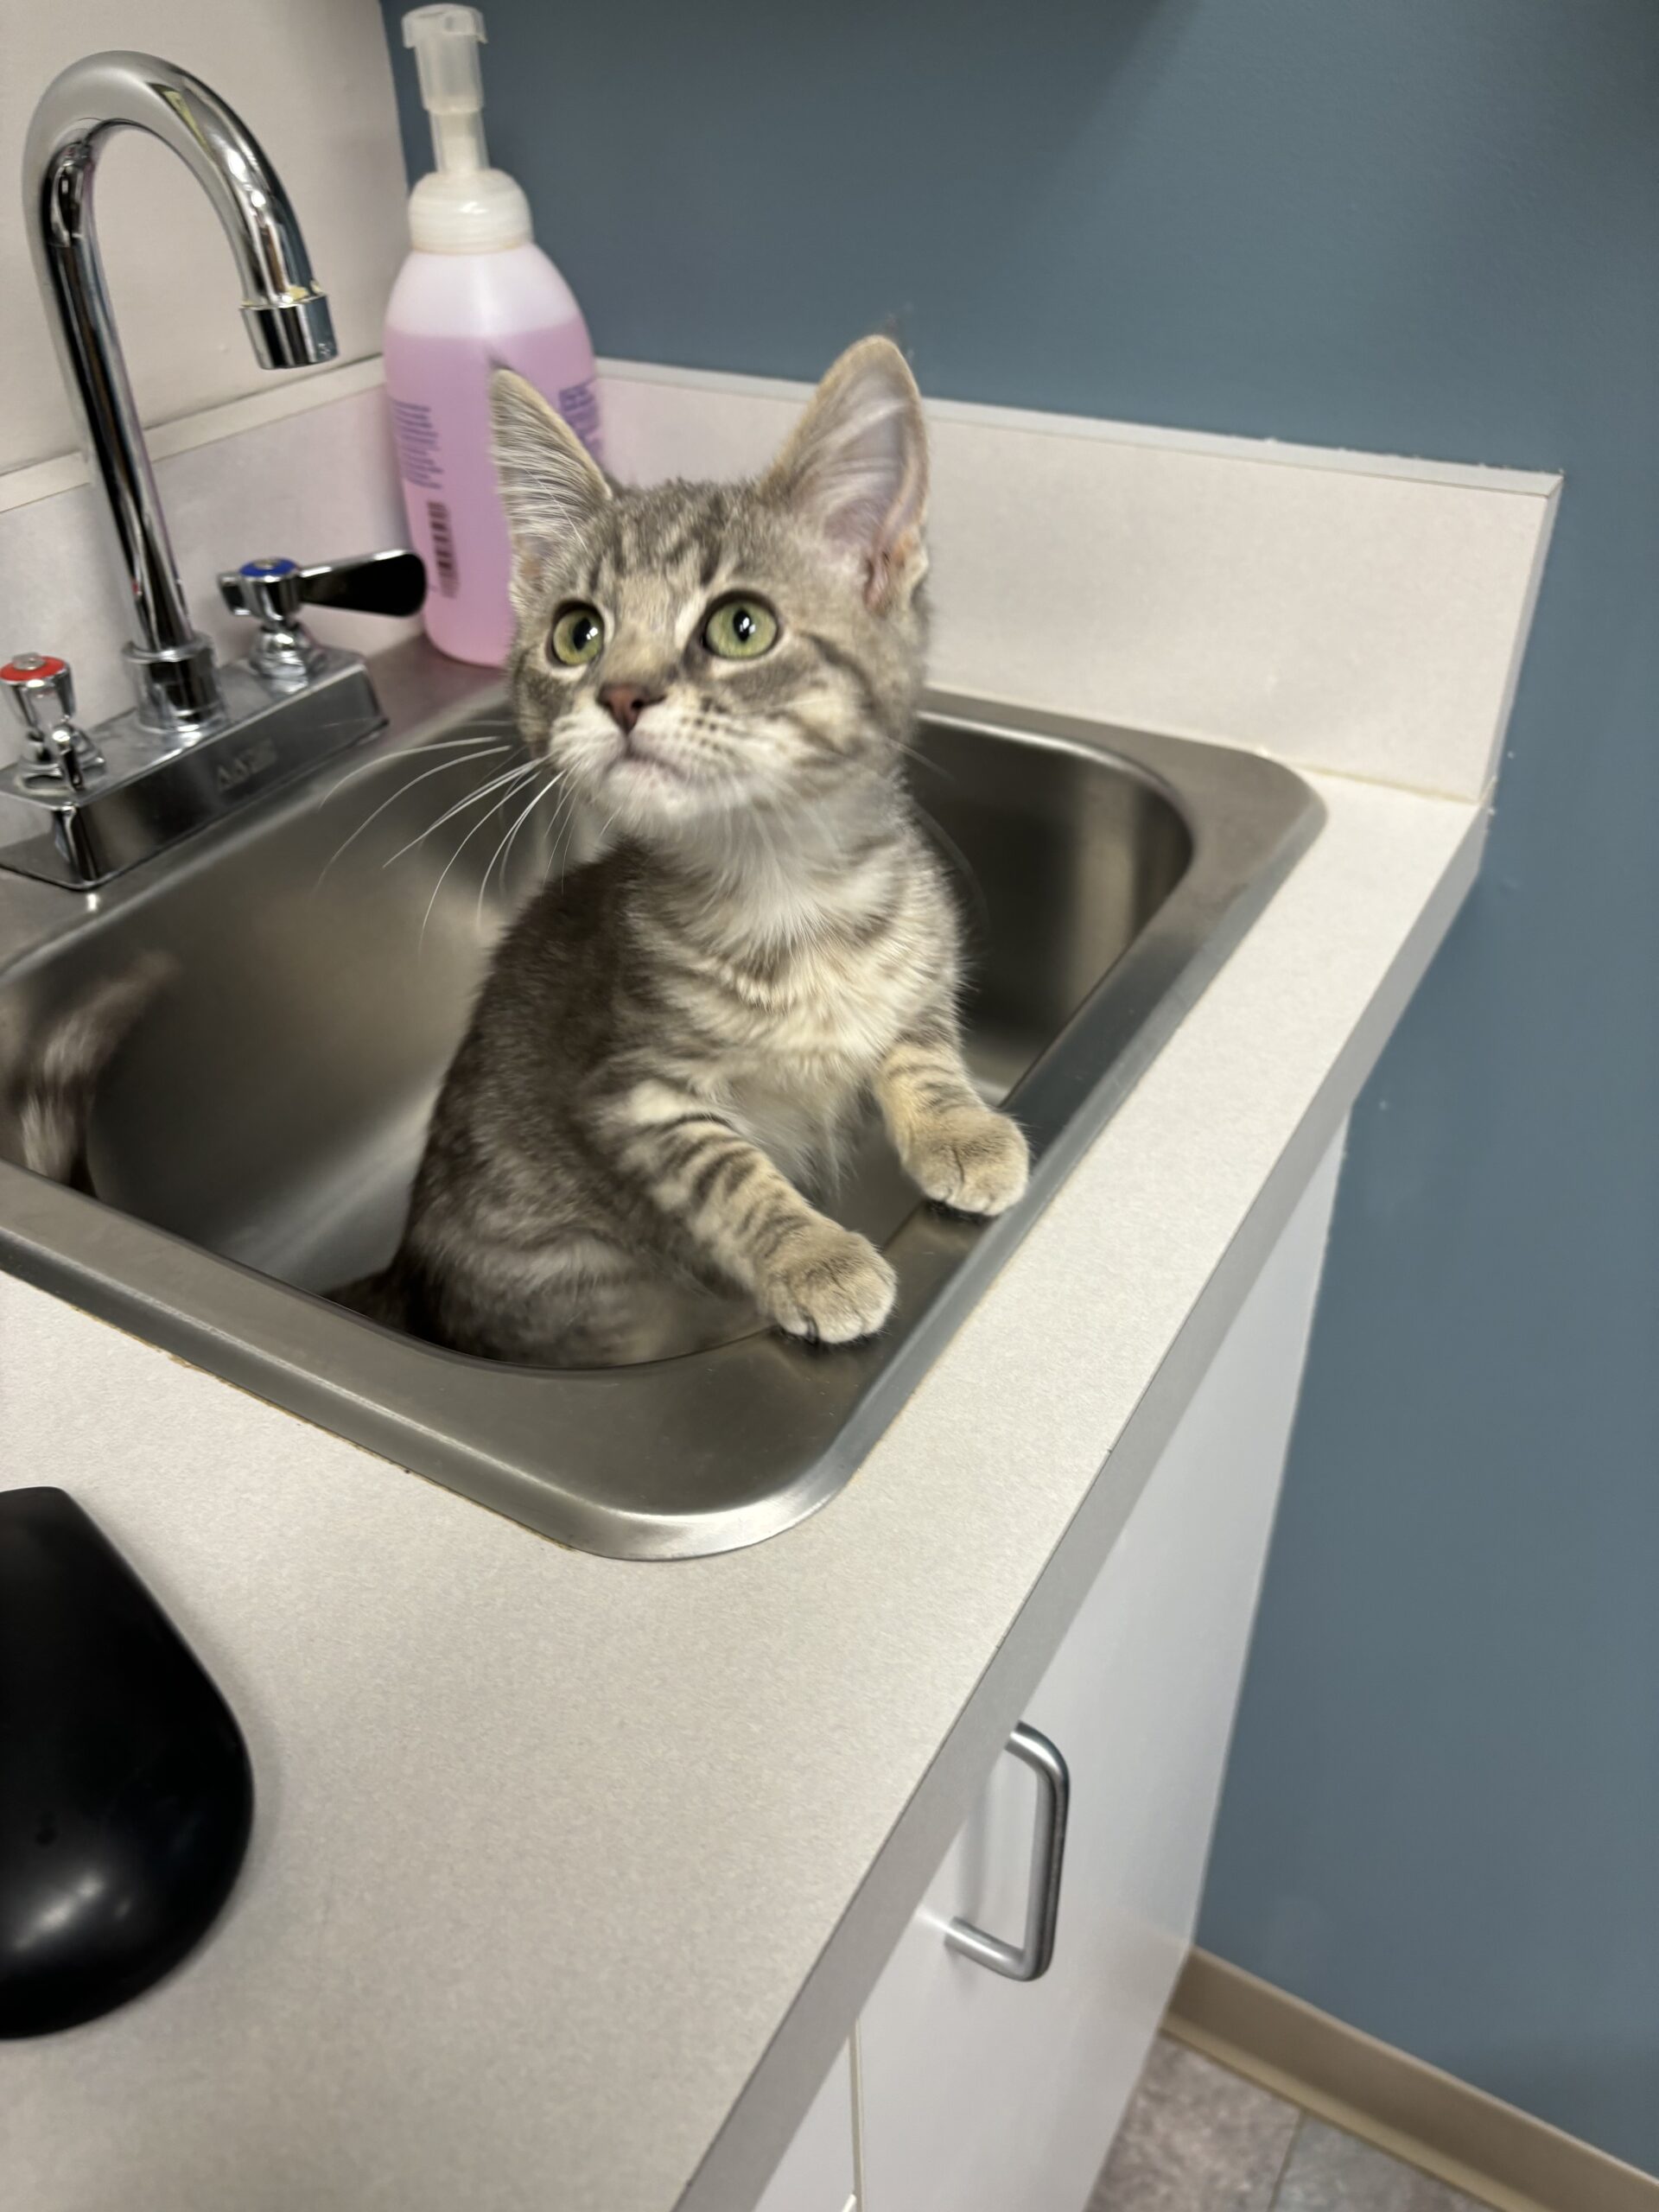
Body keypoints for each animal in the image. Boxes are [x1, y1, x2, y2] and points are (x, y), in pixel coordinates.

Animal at [345, 338, 1035, 1362]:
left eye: (740, 626)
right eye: (577, 633)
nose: (622, 694)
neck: (788, 896)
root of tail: (409, 1275)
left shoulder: (920, 943)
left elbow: (918, 1036)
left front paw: (963, 1128)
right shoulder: (634, 1091)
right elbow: (730, 1175)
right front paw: (813, 1256)